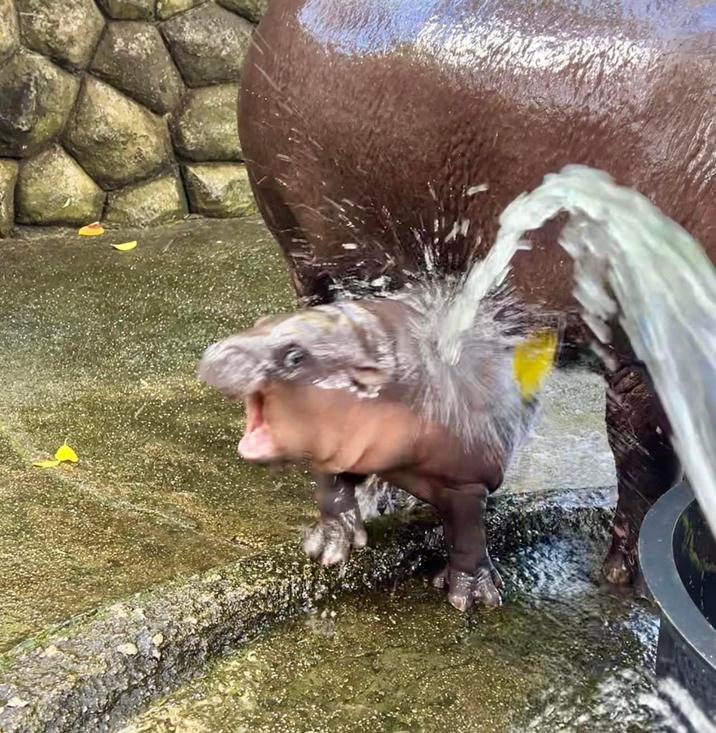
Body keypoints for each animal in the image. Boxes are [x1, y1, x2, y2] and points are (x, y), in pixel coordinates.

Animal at [196, 288, 548, 608]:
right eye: (261, 321)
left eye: (295, 356)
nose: (221, 353)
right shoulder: (339, 446)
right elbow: (332, 491)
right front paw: (331, 542)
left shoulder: (466, 483)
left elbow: (468, 536)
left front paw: (471, 594)